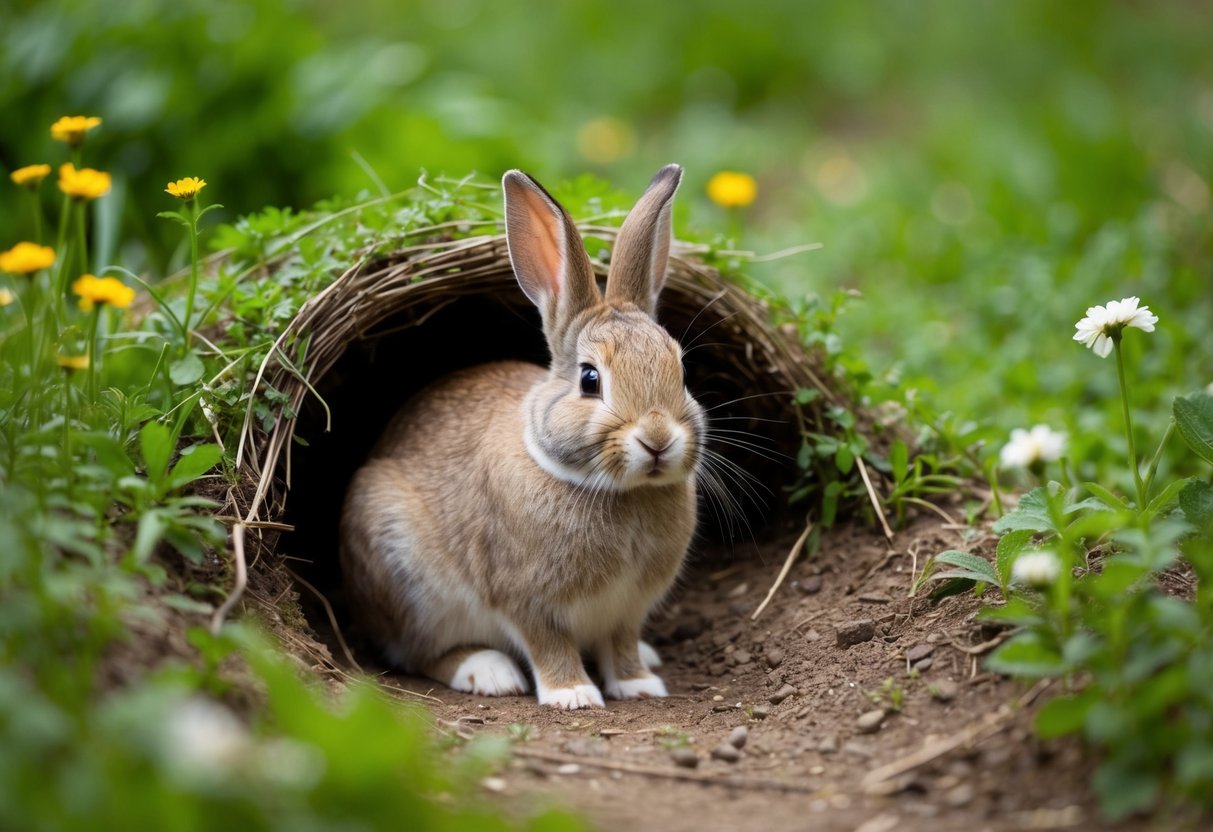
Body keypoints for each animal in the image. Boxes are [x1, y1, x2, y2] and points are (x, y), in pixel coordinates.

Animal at [339, 164, 703, 709]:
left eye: (680, 372)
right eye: (590, 380)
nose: (657, 439)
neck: (618, 490)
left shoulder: (627, 609)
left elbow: (621, 644)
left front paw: (639, 684)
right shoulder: (525, 598)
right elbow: (548, 643)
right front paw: (573, 694)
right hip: (407, 577)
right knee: (416, 653)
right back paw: (487, 672)